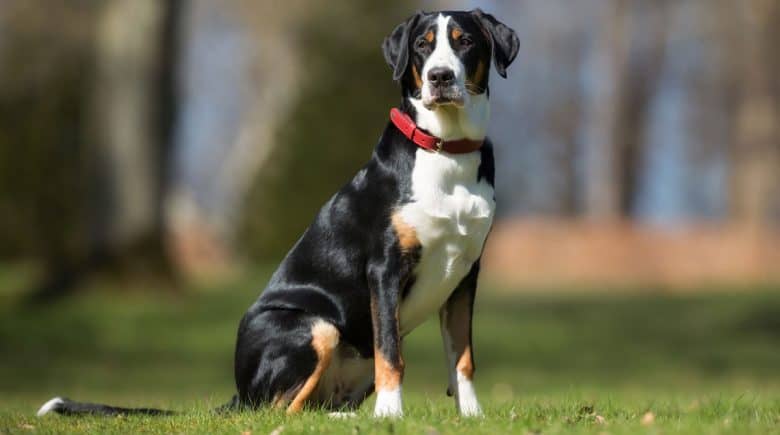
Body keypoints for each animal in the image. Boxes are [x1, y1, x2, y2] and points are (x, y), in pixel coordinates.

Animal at [39, 8, 520, 420]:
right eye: (423, 45)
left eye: (465, 42)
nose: (440, 77)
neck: (446, 152)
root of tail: (240, 391)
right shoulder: (384, 269)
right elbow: (392, 355)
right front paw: (390, 417)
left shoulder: (465, 273)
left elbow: (462, 357)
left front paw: (472, 416)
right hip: (314, 326)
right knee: (279, 411)